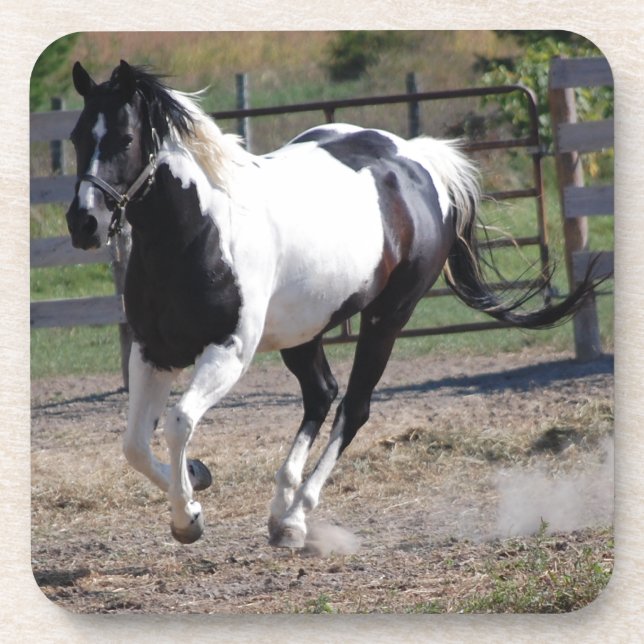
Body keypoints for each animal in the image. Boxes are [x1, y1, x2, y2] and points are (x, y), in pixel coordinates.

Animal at [64, 60, 597, 546]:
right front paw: (196, 478)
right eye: (75, 137)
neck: (198, 232)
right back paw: (280, 509)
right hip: (305, 328)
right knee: (322, 393)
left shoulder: (229, 351)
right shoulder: (152, 351)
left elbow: (177, 423)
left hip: (387, 317)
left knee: (353, 406)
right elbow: (134, 445)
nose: (83, 223)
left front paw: (188, 519)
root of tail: (417, 161)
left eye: (125, 138)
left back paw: (297, 518)